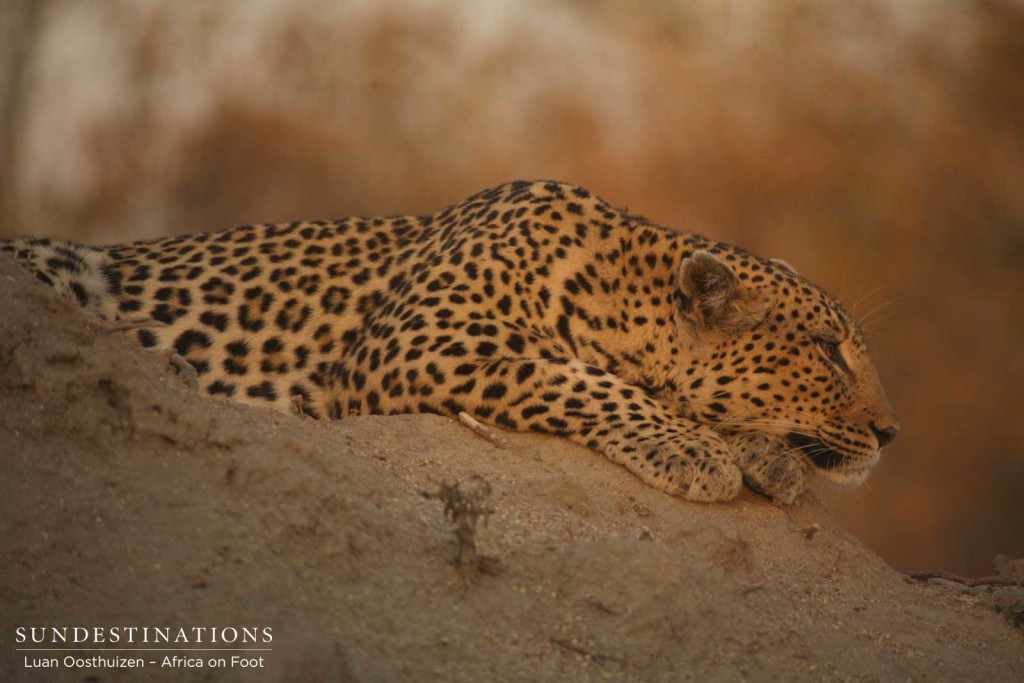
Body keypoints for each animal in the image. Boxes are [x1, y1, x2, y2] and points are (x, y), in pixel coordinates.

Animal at [0, 180, 897, 501]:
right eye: (828, 349)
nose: (891, 433)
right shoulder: (419, 341)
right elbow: (578, 377)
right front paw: (694, 450)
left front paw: (764, 454)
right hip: (64, 266)